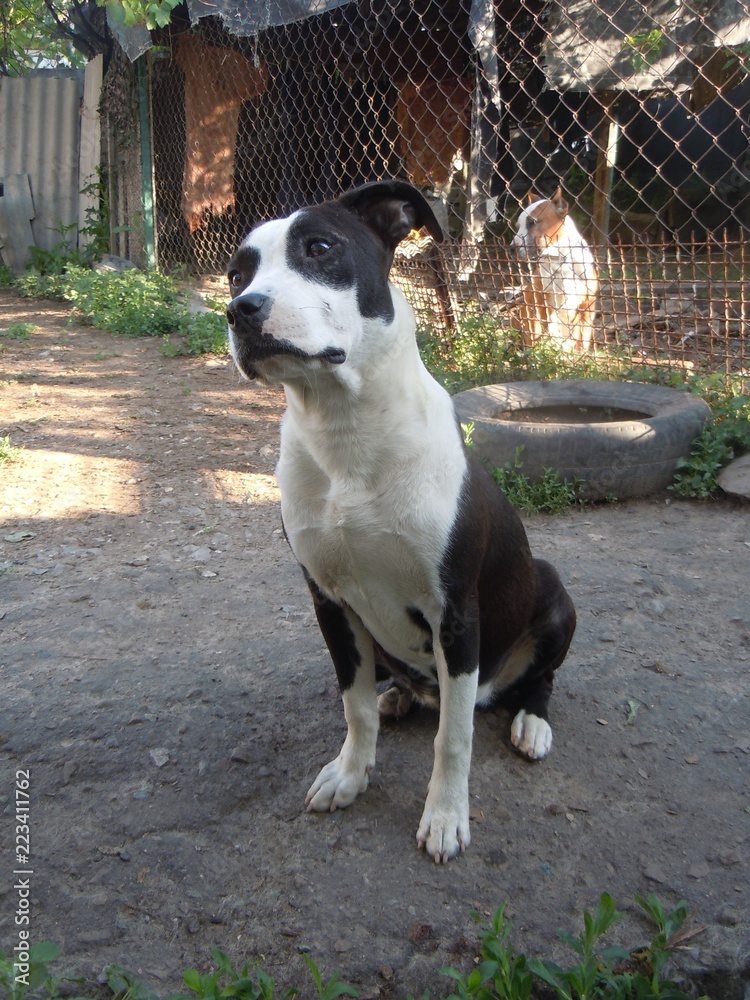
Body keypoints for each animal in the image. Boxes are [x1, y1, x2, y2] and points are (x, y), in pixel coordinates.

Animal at [226, 180, 580, 860]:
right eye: (237, 272)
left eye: (319, 247)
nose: (240, 310)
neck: (347, 432)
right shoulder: (330, 602)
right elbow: (353, 706)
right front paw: (350, 773)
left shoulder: (456, 613)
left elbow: (454, 737)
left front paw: (444, 816)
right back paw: (398, 697)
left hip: (551, 590)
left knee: (535, 682)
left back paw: (531, 722)